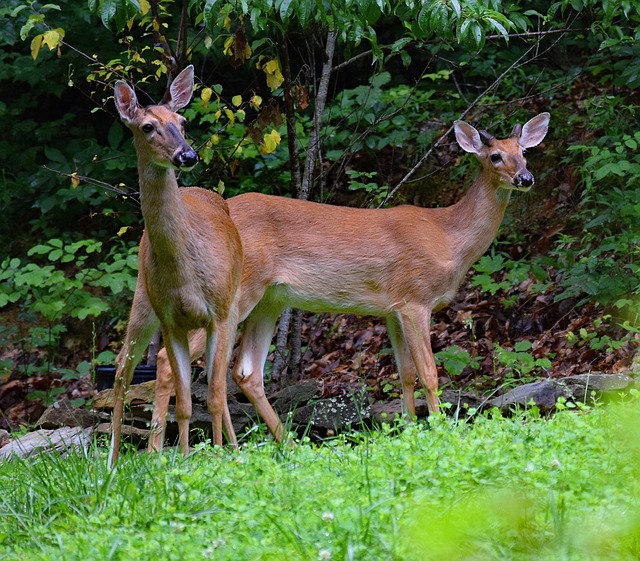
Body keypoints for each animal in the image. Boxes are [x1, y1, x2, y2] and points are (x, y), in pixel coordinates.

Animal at [107, 65, 242, 466]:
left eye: (182, 121)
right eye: (148, 126)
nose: (188, 155)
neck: (184, 271)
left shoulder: (218, 313)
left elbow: (212, 396)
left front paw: (215, 456)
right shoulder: (171, 318)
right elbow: (184, 402)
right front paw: (183, 459)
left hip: (231, 307)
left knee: (219, 383)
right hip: (142, 299)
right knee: (122, 366)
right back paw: (112, 459)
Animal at [145, 111, 552, 448]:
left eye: (524, 152)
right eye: (495, 156)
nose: (526, 178)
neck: (448, 236)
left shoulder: (392, 308)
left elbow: (405, 374)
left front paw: (409, 430)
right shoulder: (415, 298)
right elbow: (429, 373)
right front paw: (439, 432)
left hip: (269, 299)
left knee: (245, 371)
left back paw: (286, 445)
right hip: (231, 293)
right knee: (169, 359)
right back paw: (164, 452)